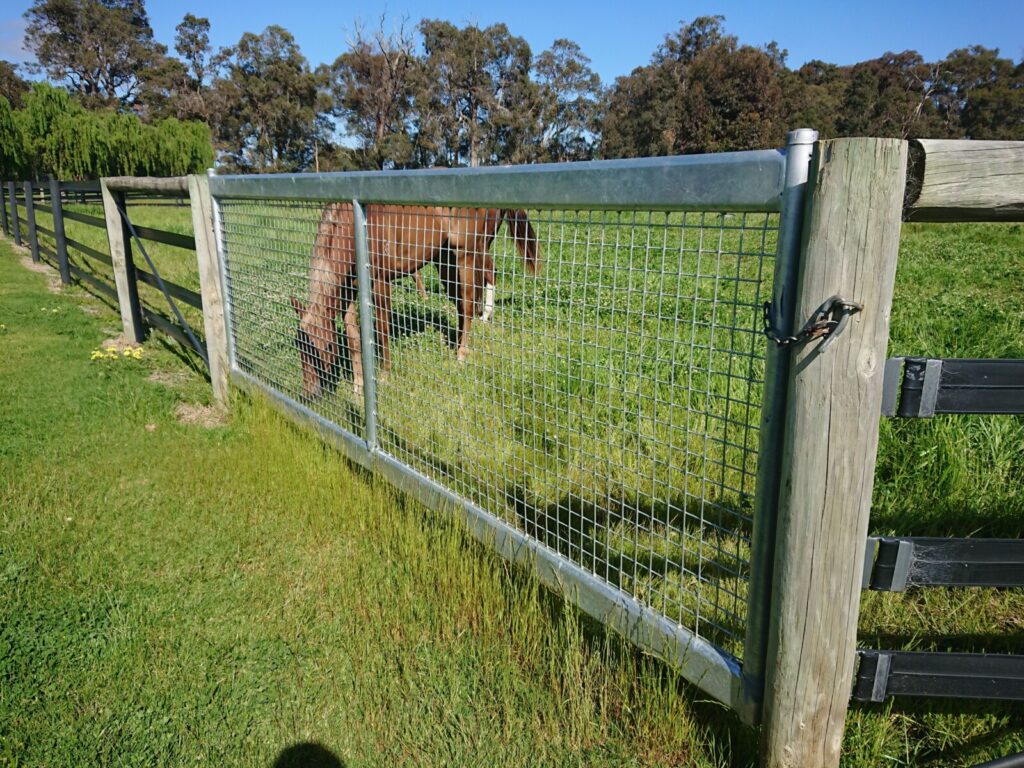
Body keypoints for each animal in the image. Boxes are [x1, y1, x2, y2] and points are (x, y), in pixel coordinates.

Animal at [290, 204, 539, 400]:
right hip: (445, 259)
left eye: (325, 347)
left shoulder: (381, 283)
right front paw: (358, 387)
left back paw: (462, 353)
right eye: (300, 347)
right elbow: (353, 340)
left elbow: (382, 331)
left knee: (471, 299)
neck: (352, 229)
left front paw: (385, 375)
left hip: (467, 253)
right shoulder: (346, 294)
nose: (308, 394)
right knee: (461, 302)